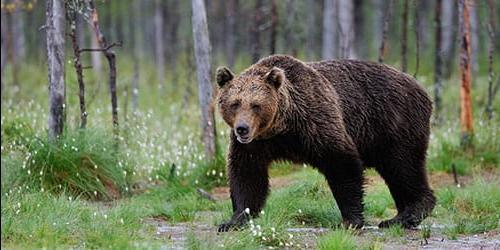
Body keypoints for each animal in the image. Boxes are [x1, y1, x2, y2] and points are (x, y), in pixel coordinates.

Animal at [217, 54, 436, 232]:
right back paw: (398, 217)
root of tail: (421, 87)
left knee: (403, 167)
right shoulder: (256, 144)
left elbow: (341, 163)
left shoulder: (315, 121)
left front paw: (350, 220)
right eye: (235, 103)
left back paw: (408, 214)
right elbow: (247, 175)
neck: (282, 127)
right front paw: (233, 220)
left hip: (394, 124)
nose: (242, 128)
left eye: (256, 105)